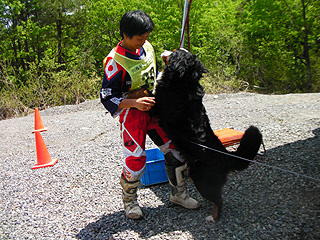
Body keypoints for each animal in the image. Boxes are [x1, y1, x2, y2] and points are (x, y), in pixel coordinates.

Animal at [154, 48, 262, 221]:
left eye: (174, 52)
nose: (164, 49)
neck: (184, 82)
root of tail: (225, 156)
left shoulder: (157, 105)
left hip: (201, 179)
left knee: (218, 201)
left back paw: (212, 218)